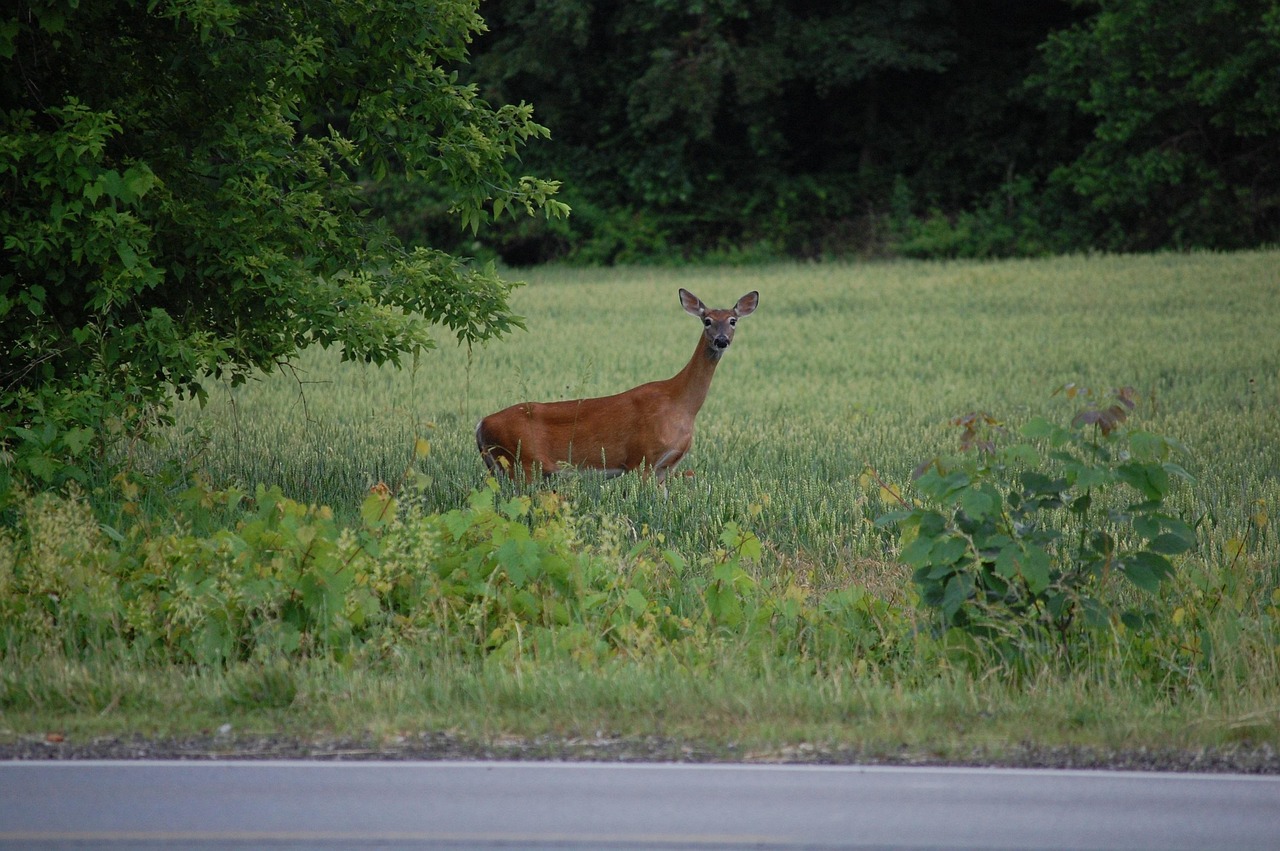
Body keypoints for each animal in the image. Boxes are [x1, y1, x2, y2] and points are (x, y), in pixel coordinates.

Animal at [478, 286, 757, 481]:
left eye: (732, 320)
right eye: (707, 320)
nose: (721, 340)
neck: (681, 404)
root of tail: (480, 425)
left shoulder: (664, 468)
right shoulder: (642, 459)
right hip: (522, 464)